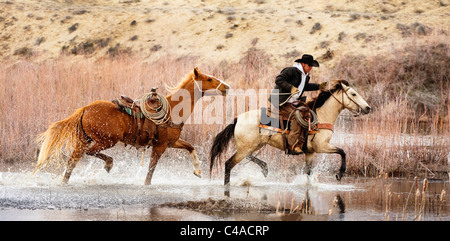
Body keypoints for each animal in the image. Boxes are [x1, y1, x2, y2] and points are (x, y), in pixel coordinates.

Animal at [34, 67, 229, 185]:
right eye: (209, 79)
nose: (226, 87)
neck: (173, 109)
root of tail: (85, 109)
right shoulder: (160, 146)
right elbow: (151, 169)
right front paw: (146, 184)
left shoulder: (172, 142)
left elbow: (190, 147)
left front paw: (198, 171)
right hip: (106, 141)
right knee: (89, 153)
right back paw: (109, 164)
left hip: (85, 139)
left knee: (73, 159)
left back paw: (65, 181)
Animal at [209, 80, 370, 185]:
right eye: (353, 94)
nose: (368, 108)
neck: (321, 116)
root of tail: (238, 119)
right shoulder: (321, 146)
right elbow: (342, 151)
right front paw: (340, 174)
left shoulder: (310, 152)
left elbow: (308, 172)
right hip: (245, 148)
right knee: (229, 164)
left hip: (253, 145)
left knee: (249, 157)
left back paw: (265, 168)